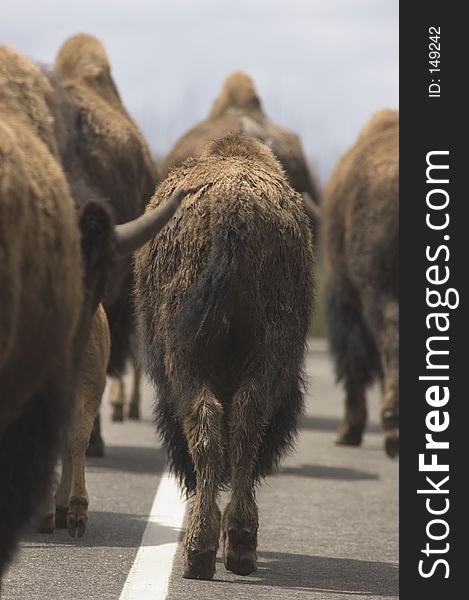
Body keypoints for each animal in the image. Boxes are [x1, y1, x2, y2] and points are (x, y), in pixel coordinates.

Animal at [133, 132, 312, 580]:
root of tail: (234, 213)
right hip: (267, 353)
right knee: (245, 424)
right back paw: (240, 545)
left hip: (187, 363)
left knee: (206, 425)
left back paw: (201, 551)